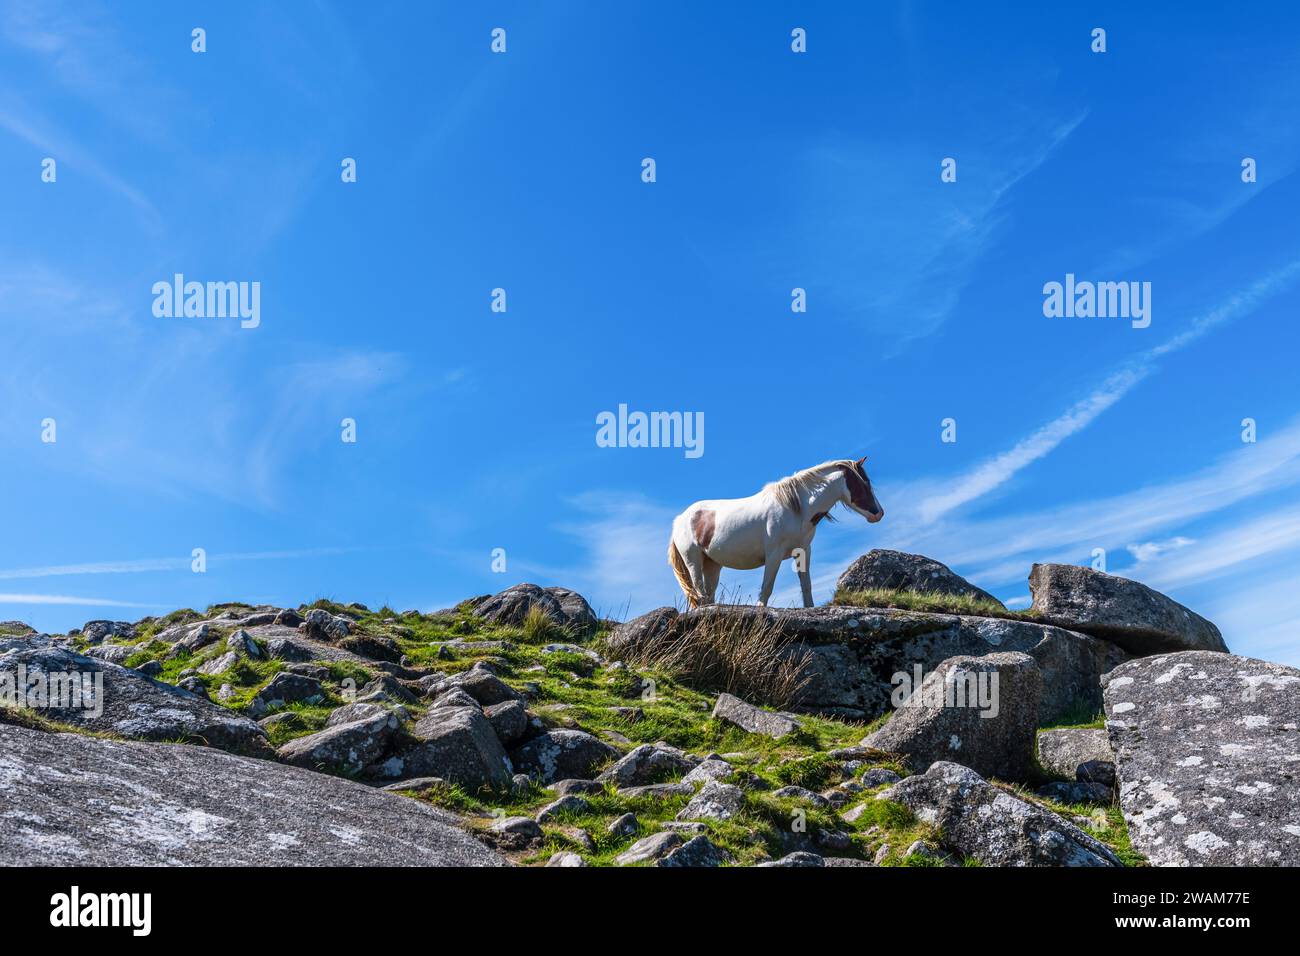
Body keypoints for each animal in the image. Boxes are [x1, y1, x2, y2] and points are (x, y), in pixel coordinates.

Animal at [670, 460, 883, 608]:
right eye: (863, 483)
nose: (879, 513)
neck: (796, 508)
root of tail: (680, 519)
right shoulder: (774, 554)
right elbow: (767, 587)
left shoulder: (803, 552)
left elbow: (806, 585)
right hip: (693, 561)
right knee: (699, 591)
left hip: (712, 564)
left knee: (708, 594)